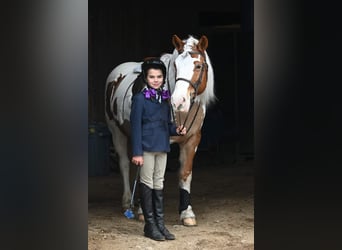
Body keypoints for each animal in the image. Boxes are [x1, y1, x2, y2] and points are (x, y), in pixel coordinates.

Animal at [105, 34, 215, 226]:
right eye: (175, 66)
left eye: (199, 65)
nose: (178, 101)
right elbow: (153, 175)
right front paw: (145, 212)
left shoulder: (192, 139)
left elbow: (185, 173)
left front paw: (187, 213)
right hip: (117, 133)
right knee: (124, 164)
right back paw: (127, 202)